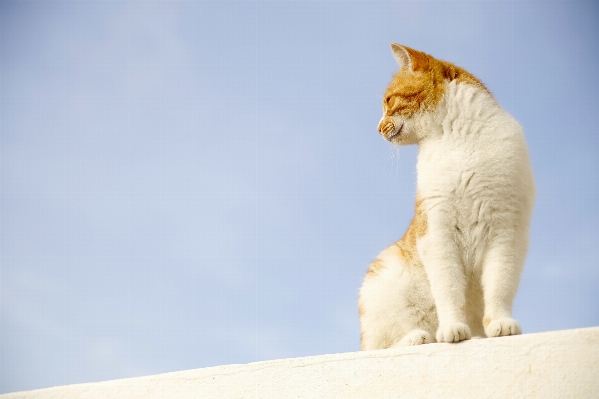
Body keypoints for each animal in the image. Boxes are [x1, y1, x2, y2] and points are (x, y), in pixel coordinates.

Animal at [358, 44, 536, 350]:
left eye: (388, 101)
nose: (378, 128)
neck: (457, 140)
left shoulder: (506, 232)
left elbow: (499, 284)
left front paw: (500, 324)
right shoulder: (437, 234)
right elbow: (449, 288)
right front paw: (453, 328)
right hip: (383, 282)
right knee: (379, 345)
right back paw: (418, 337)